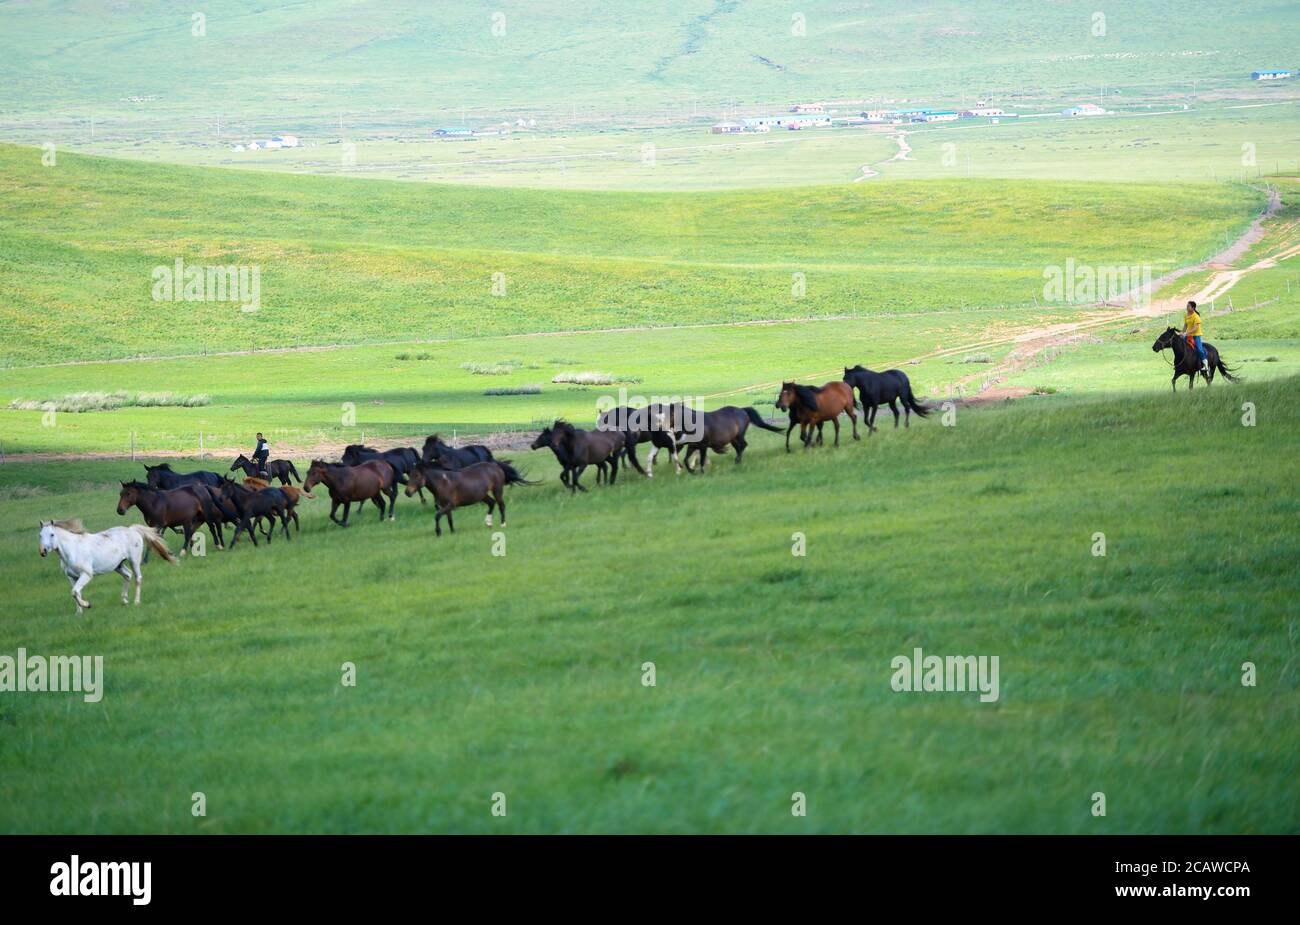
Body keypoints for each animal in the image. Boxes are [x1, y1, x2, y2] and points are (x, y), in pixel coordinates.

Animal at [39, 519, 179, 613]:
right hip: (118, 565)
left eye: (52, 534)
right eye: (40, 535)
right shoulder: (72, 577)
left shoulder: (87, 574)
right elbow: (75, 593)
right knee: (128, 575)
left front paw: (87, 605)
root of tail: (132, 529)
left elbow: (75, 592)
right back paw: (124, 600)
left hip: (134, 561)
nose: (43, 551)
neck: (73, 549)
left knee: (138, 578)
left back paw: (136, 602)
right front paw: (79, 612)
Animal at [400, 459, 533, 535]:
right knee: (492, 503)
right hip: (482, 495)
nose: (407, 492)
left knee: (501, 505)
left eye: (417, 475)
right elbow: (449, 519)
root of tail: (495, 465)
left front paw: (438, 532)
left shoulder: (450, 505)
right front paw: (453, 532)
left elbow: (437, 516)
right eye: (410, 475)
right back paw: (488, 523)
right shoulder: (445, 506)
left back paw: (502, 524)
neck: (442, 482)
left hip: (497, 490)